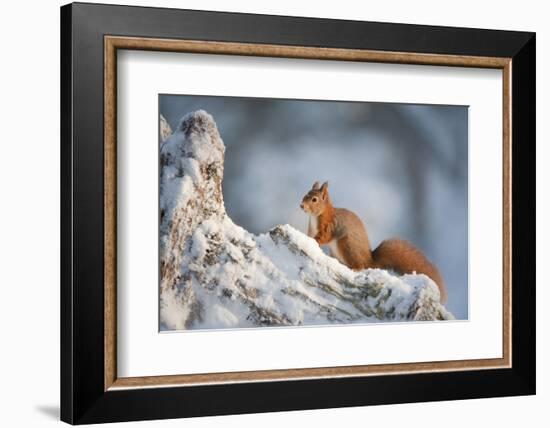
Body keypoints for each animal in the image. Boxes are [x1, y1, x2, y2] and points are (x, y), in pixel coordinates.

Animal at [302, 182, 448, 302]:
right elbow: (309, 235)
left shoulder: (330, 226)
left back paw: (355, 268)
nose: (301, 205)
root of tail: (370, 261)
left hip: (347, 246)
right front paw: (307, 238)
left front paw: (314, 240)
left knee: (360, 266)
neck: (316, 216)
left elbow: (323, 237)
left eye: (314, 199)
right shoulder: (311, 229)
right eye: (306, 194)